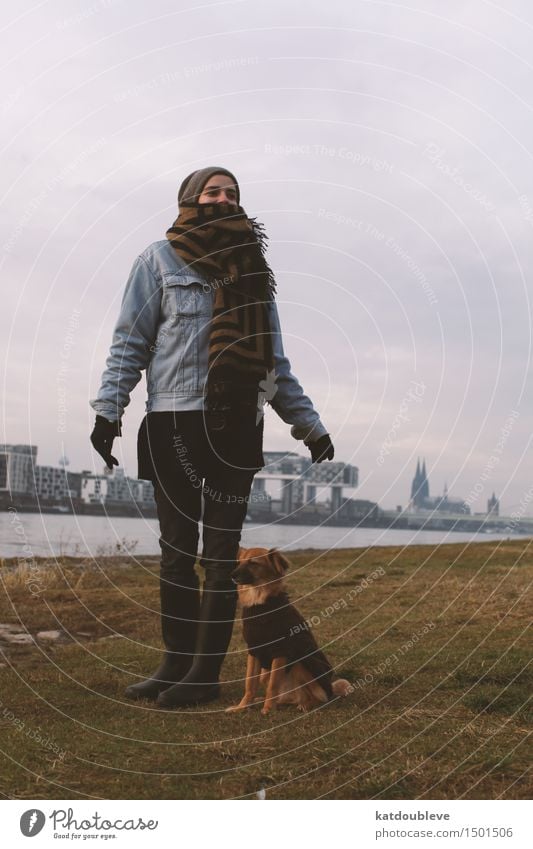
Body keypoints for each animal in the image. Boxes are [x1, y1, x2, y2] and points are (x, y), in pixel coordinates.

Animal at [225, 548, 354, 712]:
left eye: (253, 563)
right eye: (239, 562)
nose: (232, 575)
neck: (260, 603)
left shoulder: (281, 651)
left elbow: (273, 685)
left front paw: (268, 710)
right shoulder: (254, 651)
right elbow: (249, 684)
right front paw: (241, 707)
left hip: (301, 664)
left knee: (318, 698)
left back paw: (305, 704)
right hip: (267, 673)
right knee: (285, 697)